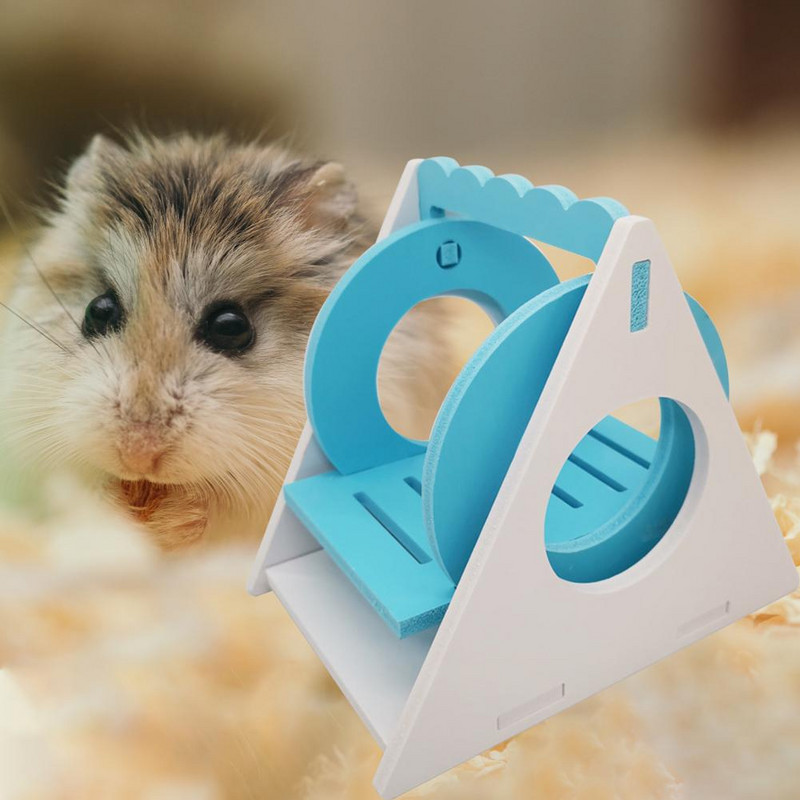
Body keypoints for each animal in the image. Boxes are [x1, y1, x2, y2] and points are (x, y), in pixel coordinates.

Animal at [1, 133, 454, 549]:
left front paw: (168, 521)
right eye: (99, 310)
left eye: (231, 327)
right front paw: (120, 508)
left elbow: (218, 508)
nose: (138, 455)